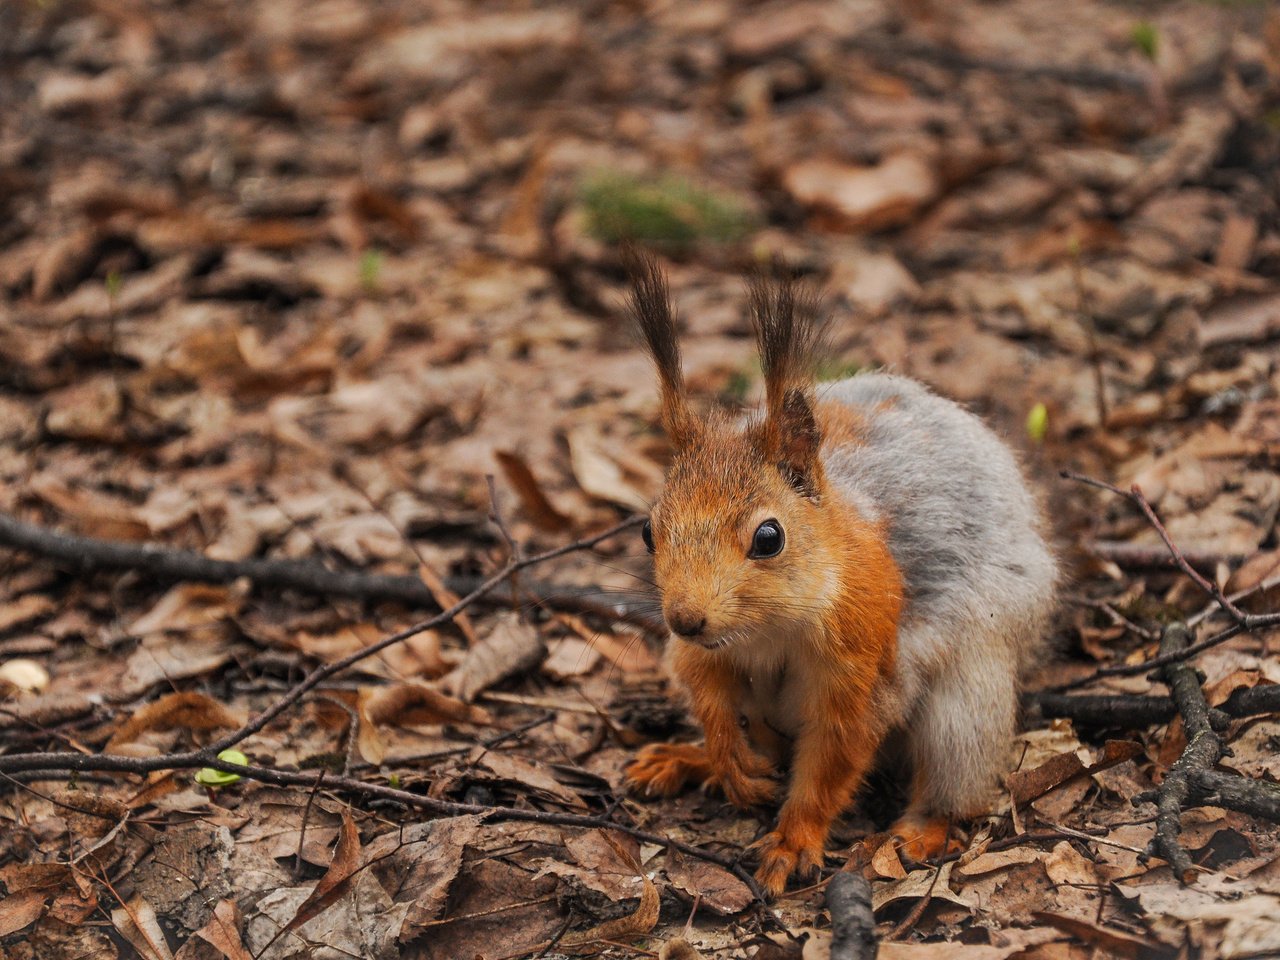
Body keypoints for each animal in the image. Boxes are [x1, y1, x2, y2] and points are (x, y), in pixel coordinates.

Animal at [622, 257, 1059, 901]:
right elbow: (707, 692)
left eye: (769, 537)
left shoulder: (863, 664)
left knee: (955, 778)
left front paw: (793, 842)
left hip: (968, 702)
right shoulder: (702, 653)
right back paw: (688, 759)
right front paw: (724, 758)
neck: (768, 628)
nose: (685, 618)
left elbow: (832, 760)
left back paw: (922, 831)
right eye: (648, 531)